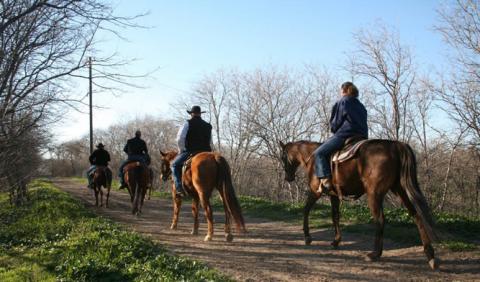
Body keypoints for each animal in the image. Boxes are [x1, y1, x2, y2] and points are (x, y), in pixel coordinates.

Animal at [278, 140, 438, 270]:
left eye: (283, 157)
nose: (288, 178)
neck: (312, 157)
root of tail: (395, 145)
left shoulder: (315, 192)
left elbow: (306, 210)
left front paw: (307, 237)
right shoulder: (334, 196)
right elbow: (335, 216)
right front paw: (336, 241)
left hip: (374, 194)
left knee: (380, 220)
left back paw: (375, 254)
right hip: (401, 190)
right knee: (417, 215)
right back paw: (430, 256)